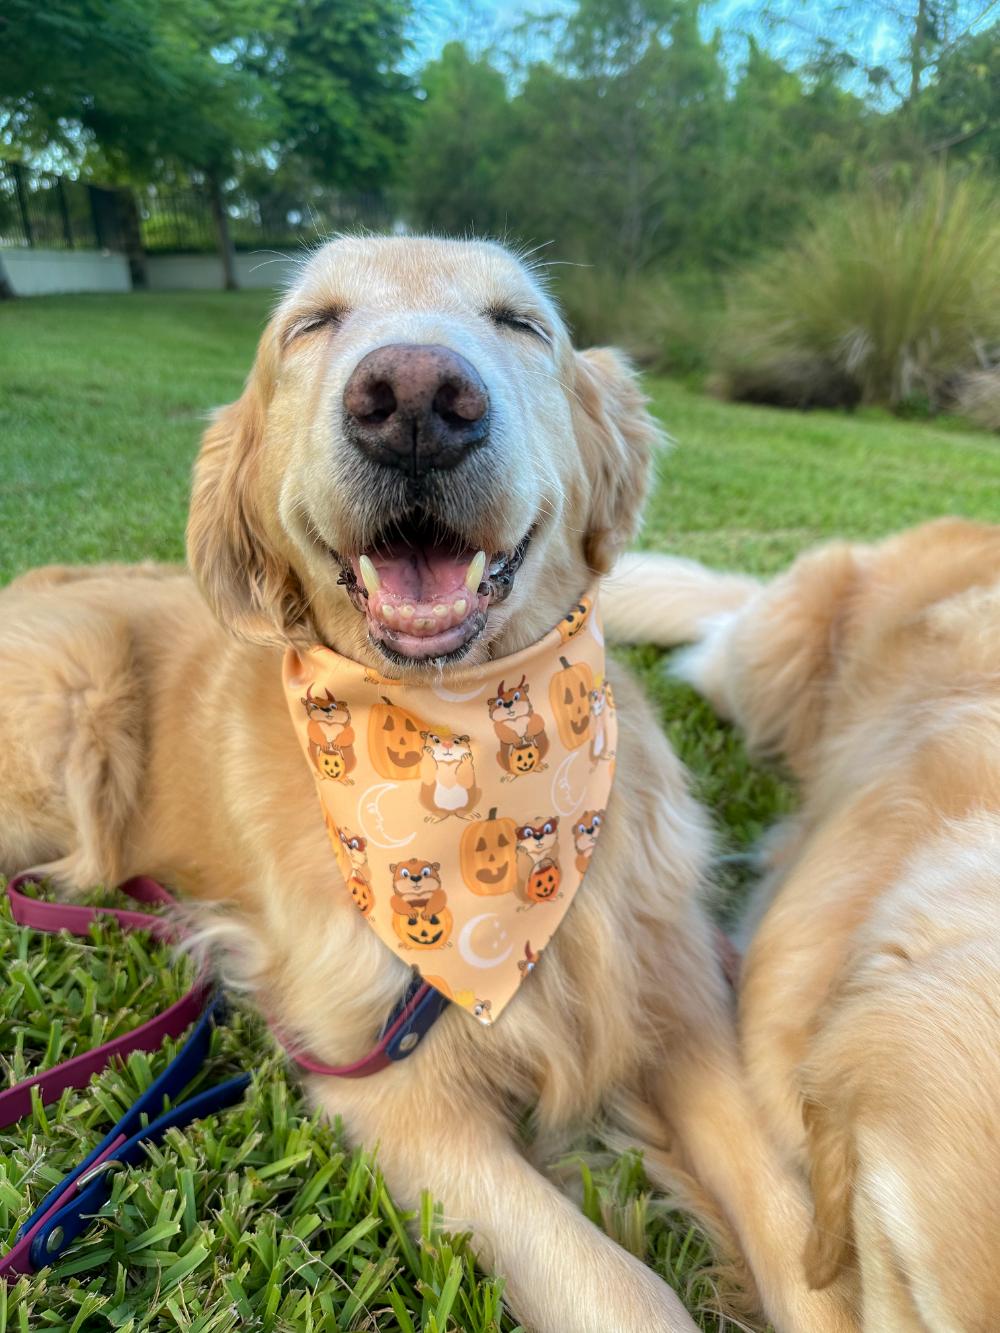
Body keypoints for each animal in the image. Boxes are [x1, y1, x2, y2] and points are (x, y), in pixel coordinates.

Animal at [1, 237, 864, 1333]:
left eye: (521, 323)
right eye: (311, 323)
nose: (414, 398)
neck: (461, 725)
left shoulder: (673, 1001)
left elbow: (796, 1235)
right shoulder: (386, 1087)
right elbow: (619, 1284)